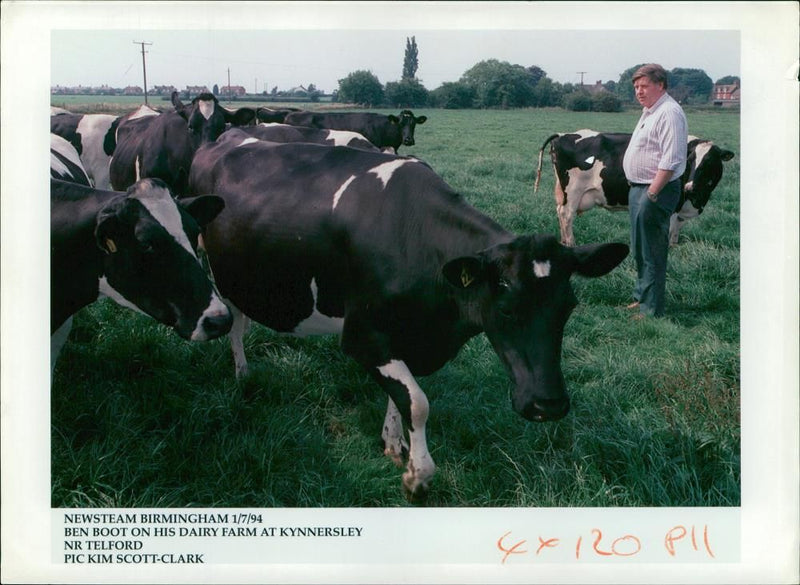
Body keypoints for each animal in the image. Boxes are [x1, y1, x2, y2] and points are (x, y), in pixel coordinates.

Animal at [189, 137, 632, 498]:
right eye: (505, 310)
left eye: (569, 307)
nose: (549, 405)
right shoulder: (363, 336)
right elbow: (417, 402)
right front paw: (418, 476)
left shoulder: (404, 336)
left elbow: (399, 395)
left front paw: (393, 443)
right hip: (212, 265)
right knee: (235, 323)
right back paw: (242, 373)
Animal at [536, 129, 736, 245]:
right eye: (690, 160)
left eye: (709, 162)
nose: (689, 187)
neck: (697, 200)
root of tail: (562, 135)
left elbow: (675, 233)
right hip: (573, 192)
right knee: (566, 215)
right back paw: (571, 244)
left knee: (559, 212)